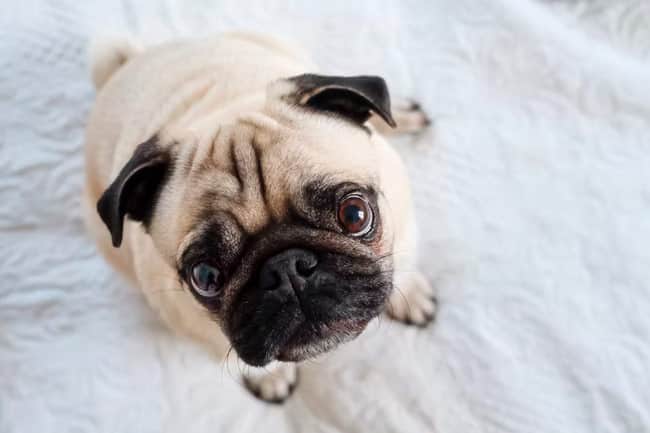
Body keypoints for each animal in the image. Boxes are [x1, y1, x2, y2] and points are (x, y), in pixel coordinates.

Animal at [82, 33, 436, 402]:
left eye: (355, 215)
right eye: (205, 276)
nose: (288, 269)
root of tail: (127, 63)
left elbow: (401, 266)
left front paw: (409, 296)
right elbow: (247, 364)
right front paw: (271, 376)